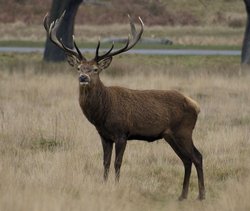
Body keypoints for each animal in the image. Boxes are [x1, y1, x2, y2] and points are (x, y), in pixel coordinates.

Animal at [44, 10, 205, 200]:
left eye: (95, 69)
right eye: (79, 68)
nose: (83, 77)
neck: (102, 114)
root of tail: (196, 105)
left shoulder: (122, 133)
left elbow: (117, 162)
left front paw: (116, 185)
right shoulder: (104, 135)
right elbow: (105, 162)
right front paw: (104, 185)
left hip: (184, 130)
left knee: (197, 156)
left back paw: (201, 195)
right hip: (170, 135)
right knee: (186, 159)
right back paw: (183, 195)